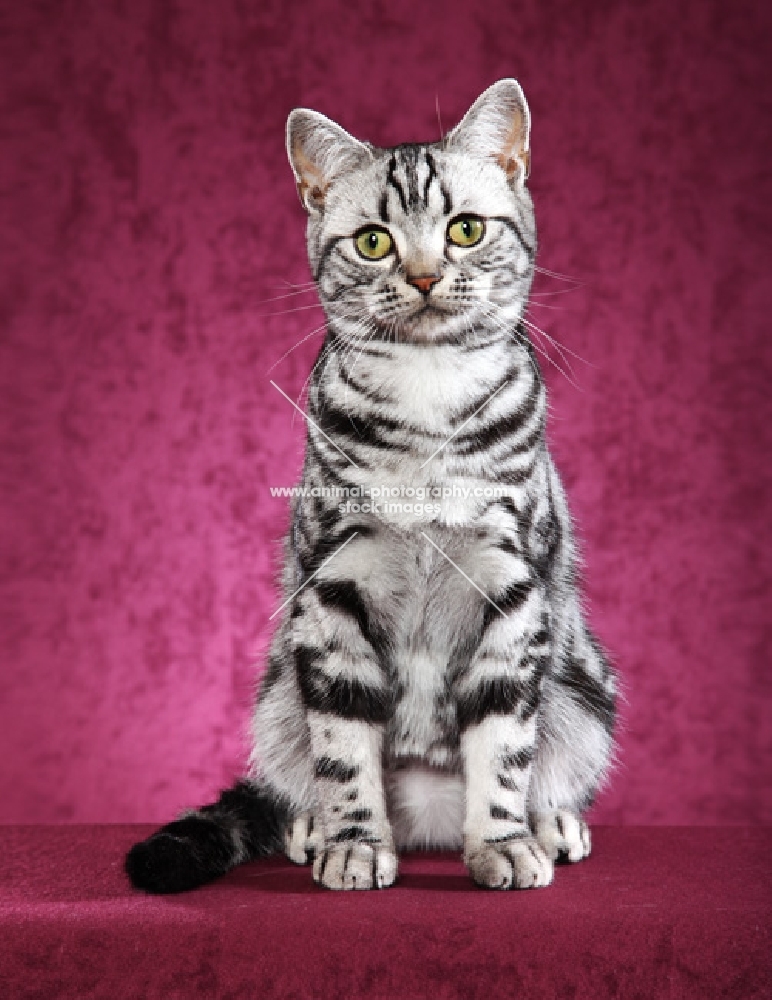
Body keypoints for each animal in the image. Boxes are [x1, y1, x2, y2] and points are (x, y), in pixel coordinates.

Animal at [130, 78, 620, 892]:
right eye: (373, 242)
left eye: (464, 230)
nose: (422, 276)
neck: (427, 397)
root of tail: (429, 823)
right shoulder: (331, 588)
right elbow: (343, 745)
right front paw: (355, 841)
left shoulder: (512, 586)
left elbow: (503, 742)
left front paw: (502, 841)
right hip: (275, 696)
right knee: (298, 767)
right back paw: (310, 827)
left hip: (584, 686)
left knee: (551, 755)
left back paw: (550, 823)